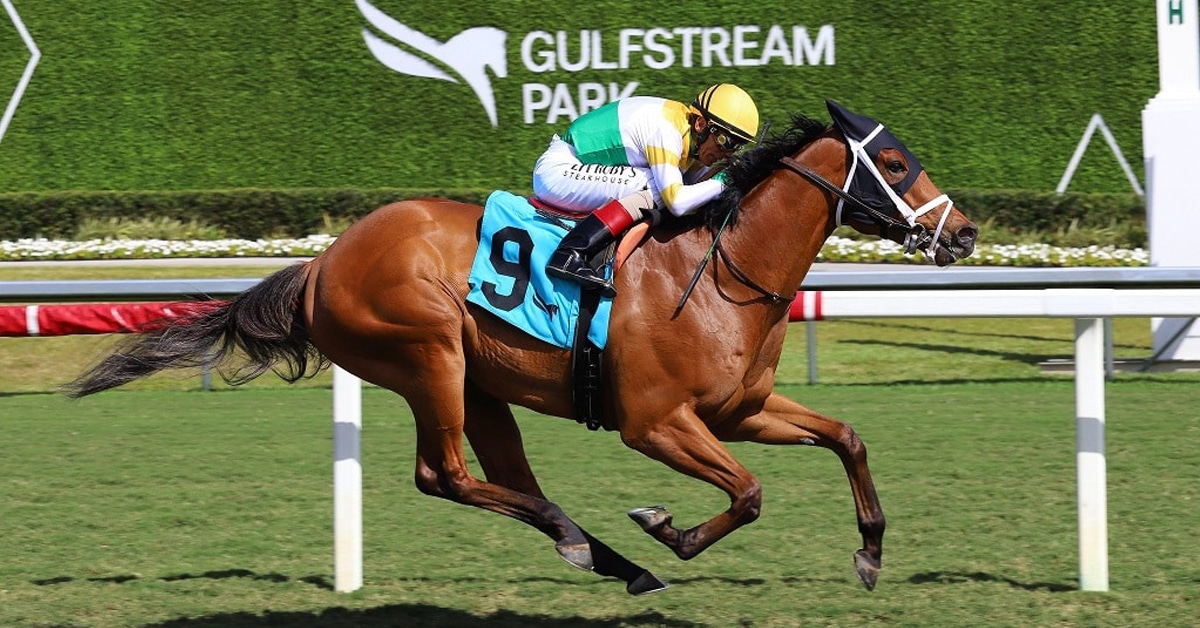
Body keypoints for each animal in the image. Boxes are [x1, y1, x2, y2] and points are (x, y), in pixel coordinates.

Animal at [66, 101, 978, 595]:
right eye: (895, 161)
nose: (965, 234)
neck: (720, 270)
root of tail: (324, 262)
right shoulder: (656, 424)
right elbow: (749, 494)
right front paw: (665, 527)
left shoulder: (740, 409)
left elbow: (846, 438)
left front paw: (869, 554)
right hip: (429, 354)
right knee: (445, 475)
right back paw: (590, 542)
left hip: (478, 383)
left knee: (502, 477)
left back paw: (608, 557)